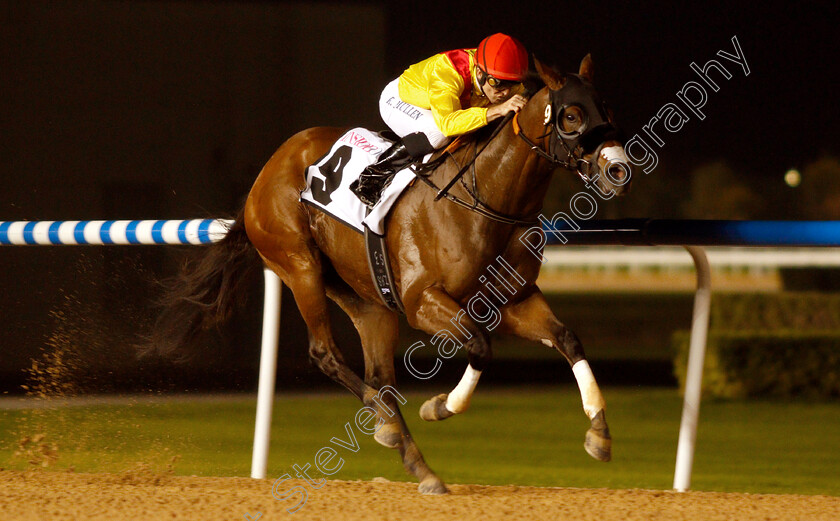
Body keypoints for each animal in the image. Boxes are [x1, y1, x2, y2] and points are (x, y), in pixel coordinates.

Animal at [149, 55, 632, 492]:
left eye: (607, 109)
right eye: (571, 115)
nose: (618, 168)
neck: (487, 199)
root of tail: (268, 169)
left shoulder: (513, 299)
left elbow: (567, 338)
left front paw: (599, 434)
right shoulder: (423, 303)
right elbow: (480, 345)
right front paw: (439, 406)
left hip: (366, 299)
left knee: (380, 377)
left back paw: (420, 465)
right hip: (299, 264)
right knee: (328, 355)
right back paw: (385, 424)